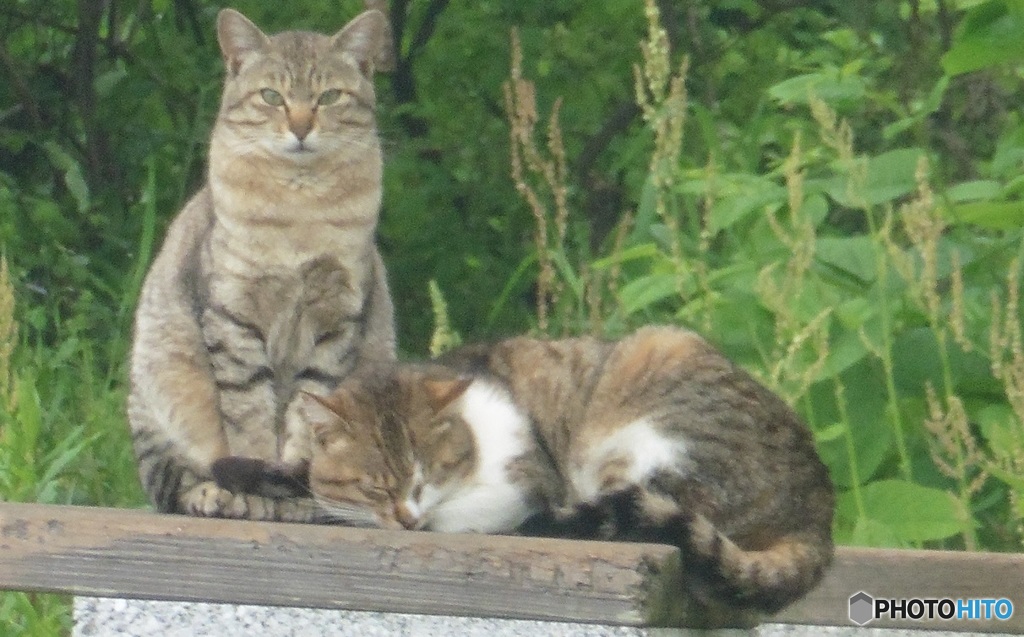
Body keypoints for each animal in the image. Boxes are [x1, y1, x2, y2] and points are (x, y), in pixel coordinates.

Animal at [126, 6, 395, 524]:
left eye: (329, 96)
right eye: (272, 96)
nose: (301, 127)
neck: (300, 211)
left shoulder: (336, 322)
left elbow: (305, 413)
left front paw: (293, 488)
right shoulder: (233, 316)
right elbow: (248, 415)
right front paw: (256, 485)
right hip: (156, 391)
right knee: (173, 483)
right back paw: (216, 495)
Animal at [211, 327, 835, 618]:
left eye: (425, 476)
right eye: (375, 484)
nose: (406, 519)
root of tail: (819, 507)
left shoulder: (527, 480)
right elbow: (290, 473)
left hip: (649, 416)